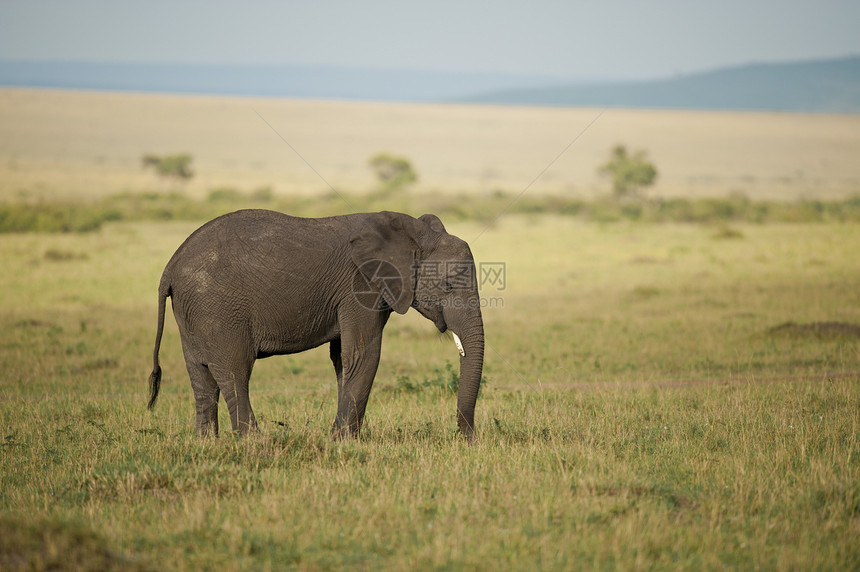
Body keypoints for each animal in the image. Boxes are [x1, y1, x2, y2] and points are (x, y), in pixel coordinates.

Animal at [148, 212, 484, 440]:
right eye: (448, 285)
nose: (466, 439)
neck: (412, 232)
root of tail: (169, 267)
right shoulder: (360, 286)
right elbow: (363, 354)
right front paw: (345, 441)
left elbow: (342, 359)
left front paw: (340, 438)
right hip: (217, 309)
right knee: (234, 370)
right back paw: (254, 442)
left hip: (192, 313)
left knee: (201, 377)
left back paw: (208, 443)